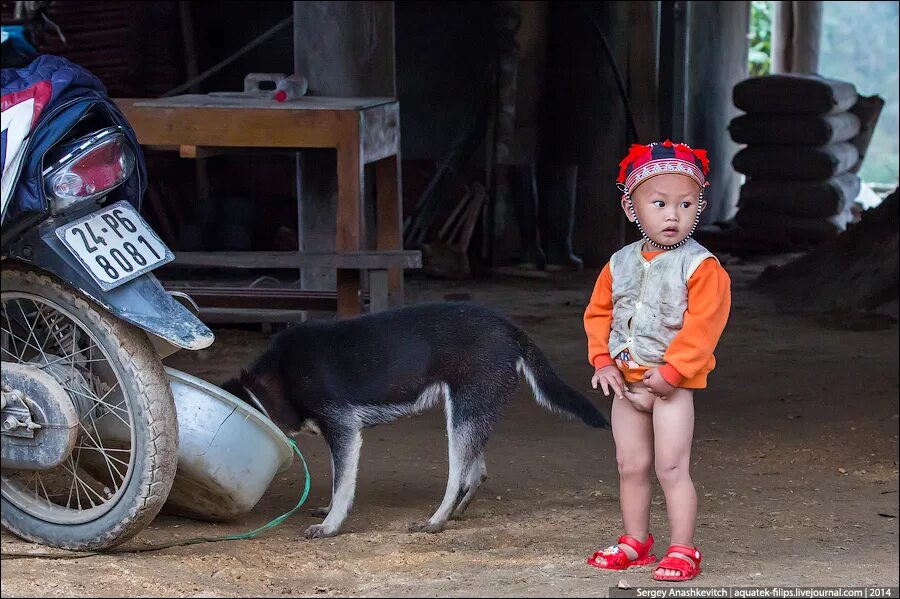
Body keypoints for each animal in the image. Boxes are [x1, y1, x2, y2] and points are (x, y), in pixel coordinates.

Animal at [221, 302, 608, 540]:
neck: (272, 382)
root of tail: (510, 329)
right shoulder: (339, 434)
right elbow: (336, 479)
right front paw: (329, 510)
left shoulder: (343, 427)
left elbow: (342, 482)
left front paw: (332, 524)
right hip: (471, 412)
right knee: (477, 471)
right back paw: (455, 512)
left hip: (463, 413)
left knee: (458, 475)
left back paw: (436, 520)